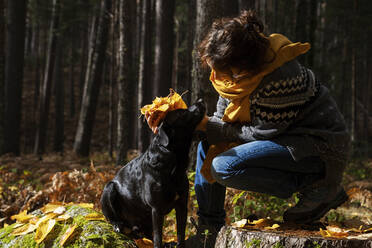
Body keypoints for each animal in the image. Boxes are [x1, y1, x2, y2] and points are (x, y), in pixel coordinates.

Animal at [101, 100, 206, 247]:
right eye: (181, 113)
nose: (200, 100)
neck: (174, 165)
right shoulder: (156, 209)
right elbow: (158, 236)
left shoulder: (182, 205)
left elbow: (180, 232)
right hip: (109, 189)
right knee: (110, 217)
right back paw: (117, 224)